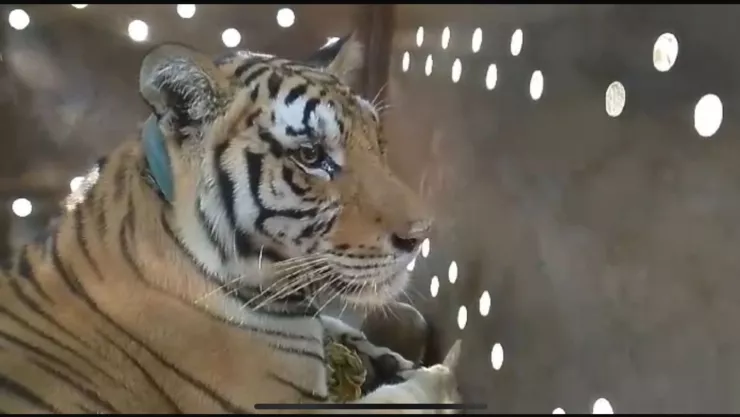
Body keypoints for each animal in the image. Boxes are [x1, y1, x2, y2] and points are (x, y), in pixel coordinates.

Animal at [0, 33, 460, 413]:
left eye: (378, 142)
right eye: (311, 155)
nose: (420, 236)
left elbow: (343, 328)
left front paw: (394, 359)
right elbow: (401, 398)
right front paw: (441, 377)